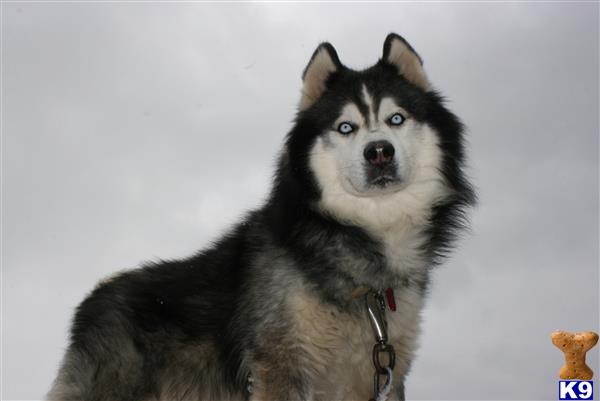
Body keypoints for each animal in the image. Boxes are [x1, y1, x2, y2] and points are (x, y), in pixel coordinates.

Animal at [49, 33, 476, 400]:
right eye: (345, 127)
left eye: (396, 119)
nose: (379, 152)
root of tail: (98, 293)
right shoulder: (282, 367)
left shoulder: (383, 373)